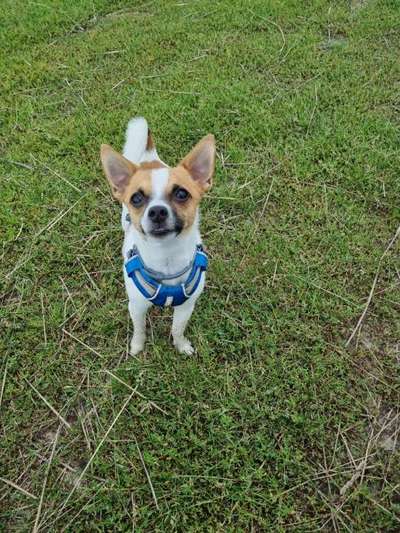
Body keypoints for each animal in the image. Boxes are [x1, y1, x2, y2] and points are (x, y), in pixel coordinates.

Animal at [101, 118, 217, 356]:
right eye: (136, 198)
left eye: (182, 194)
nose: (157, 212)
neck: (166, 257)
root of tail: (149, 158)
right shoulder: (136, 307)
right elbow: (139, 330)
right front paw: (137, 347)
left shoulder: (186, 307)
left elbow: (177, 329)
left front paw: (181, 345)